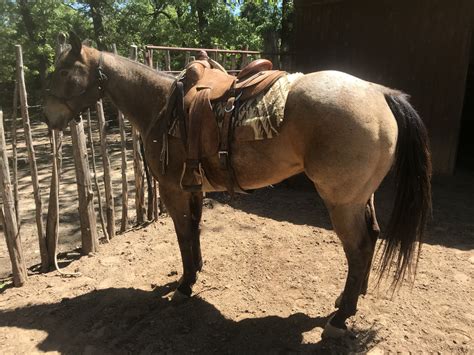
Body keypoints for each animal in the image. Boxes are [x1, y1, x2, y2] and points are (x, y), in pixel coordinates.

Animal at [44, 34, 434, 340]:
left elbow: (182, 235)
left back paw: (339, 318)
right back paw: (349, 300)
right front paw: (196, 271)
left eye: (63, 72)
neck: (160, 106)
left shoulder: (173, 190)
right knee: (371, 239)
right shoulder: (193, 189)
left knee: (359, 246)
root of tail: (378, 93)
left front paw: (184, 286)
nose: (49, 119)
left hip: (341, 202)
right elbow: (194, 232)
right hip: (360, 197)